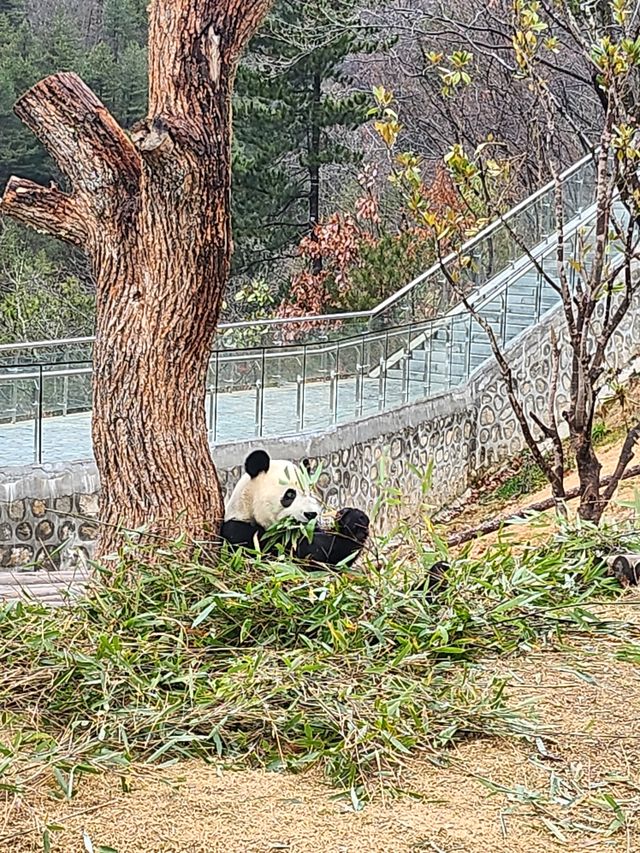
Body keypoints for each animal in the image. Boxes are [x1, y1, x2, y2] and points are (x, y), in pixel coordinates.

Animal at [220, 450, 370, 568]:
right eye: (290, 495)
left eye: (310, 493)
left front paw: (354, 519)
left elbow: (334, 558)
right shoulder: (243, 535)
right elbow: (299, 554)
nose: (311, 514)